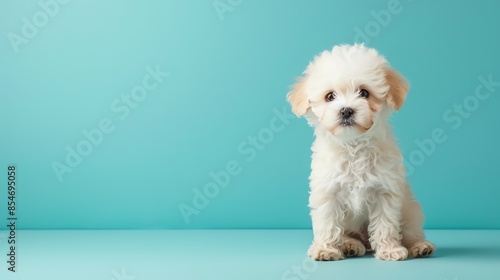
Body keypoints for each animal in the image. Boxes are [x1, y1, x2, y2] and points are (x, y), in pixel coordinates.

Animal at [288, 43, 436, 260]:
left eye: (364, 93)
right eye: (330, 96)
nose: (346, 110)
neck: (354, 146)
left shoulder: (385, 190)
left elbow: (386, 223)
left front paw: (389, 249)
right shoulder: (328, 190)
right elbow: (327, 222)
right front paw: (325, 249)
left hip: (411, 211)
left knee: (411, 231)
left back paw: (419, 246)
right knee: (348, 235)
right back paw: (351, 245)